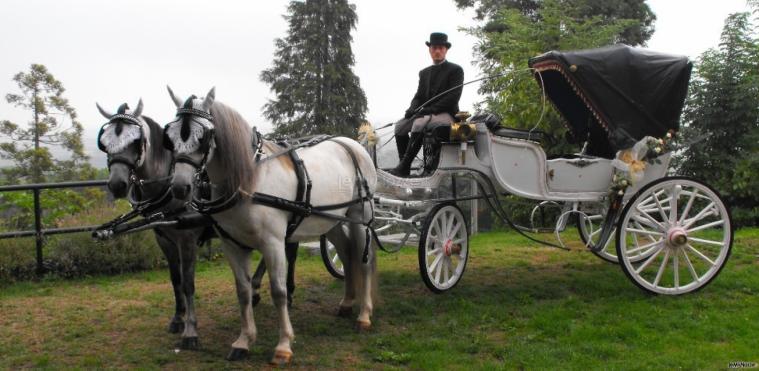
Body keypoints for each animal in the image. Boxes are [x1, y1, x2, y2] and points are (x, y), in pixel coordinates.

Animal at [95, 100, 208, 350]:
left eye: (135, 141)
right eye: (105, 142)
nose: (117, 185)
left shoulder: (187, 241)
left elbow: (188, 283)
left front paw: (191, 331)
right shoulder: (164, 240)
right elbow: (176, 280)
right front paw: (177, 319)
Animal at [164, 88, 380, 366]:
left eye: (203, 137)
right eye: (169, 137)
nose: (180, 187)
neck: (249, 179)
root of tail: (352, 144)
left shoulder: (273, 242)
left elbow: (278, 292)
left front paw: (284, 345)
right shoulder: (231, 244)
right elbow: (243, 291)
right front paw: (243, 341)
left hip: (360, 218)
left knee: (365, 261)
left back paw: (364, 315)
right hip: (331, 221)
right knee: (346, 254)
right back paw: (346, 303)